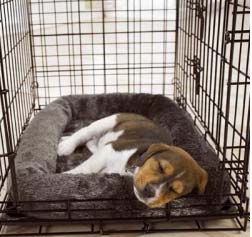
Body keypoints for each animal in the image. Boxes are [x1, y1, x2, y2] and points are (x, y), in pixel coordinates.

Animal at [57, 113, 209, 207]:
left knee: (91, 142)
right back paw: (66, 145)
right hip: (108, 121)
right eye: (160, 166)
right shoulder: (110, 149)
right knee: (84, 132)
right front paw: (67, 176)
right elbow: (87, 168)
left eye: (175, 191)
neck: (129, 169)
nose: (150, 191)